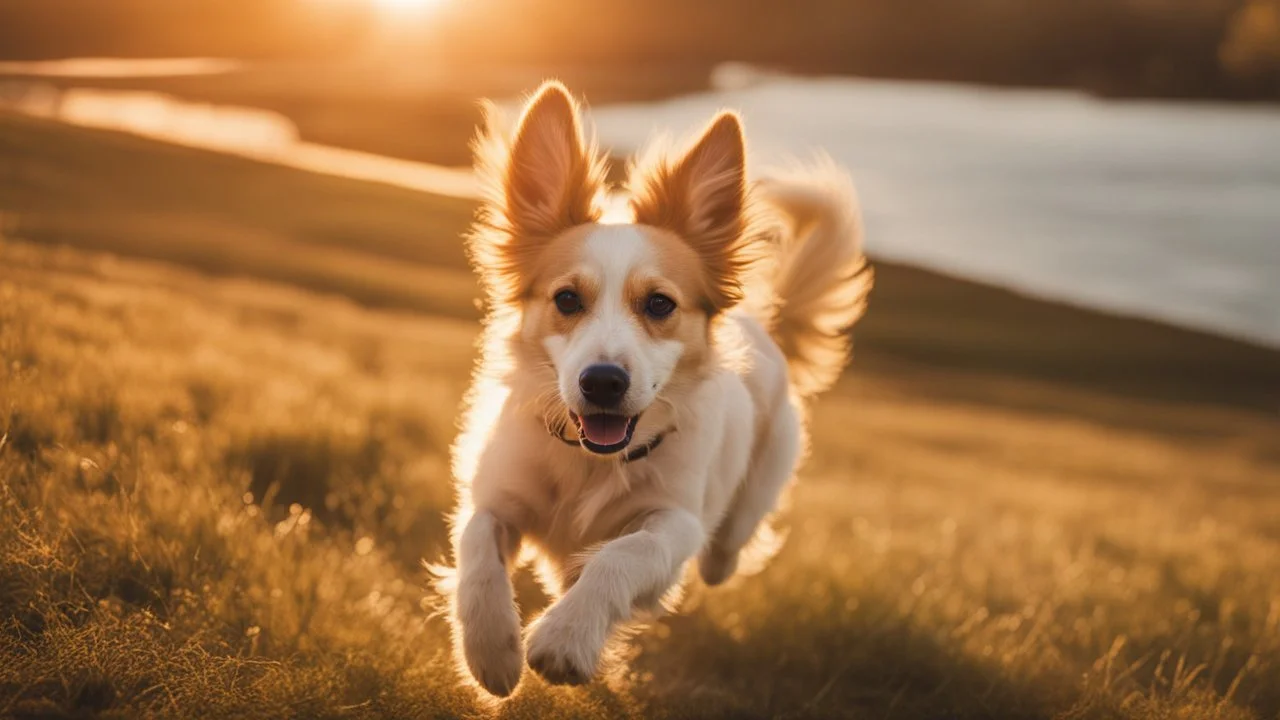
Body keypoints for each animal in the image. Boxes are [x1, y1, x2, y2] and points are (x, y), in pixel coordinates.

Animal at [437, 79, 870, 696]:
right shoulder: (496, 494)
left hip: (748, 502)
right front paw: (492, 649)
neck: (591, 463)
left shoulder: (676, 522)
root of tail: (765, 325)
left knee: (723, 554)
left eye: (660, 304)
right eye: (567, 299)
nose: (603, 382)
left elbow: (621, 555)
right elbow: (476, 546)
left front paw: (567, 636)